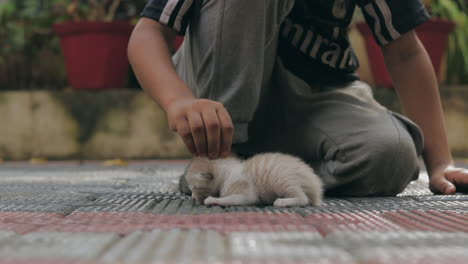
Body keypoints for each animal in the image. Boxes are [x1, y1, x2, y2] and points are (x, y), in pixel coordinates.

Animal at [185, 153, 324, 208]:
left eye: (194, 188)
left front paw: (212, 200)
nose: (193, 197)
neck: (226, 173)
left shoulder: (246, 193)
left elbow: (229, 199)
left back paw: (282, 202)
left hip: (281, 179)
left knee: (303, 199)